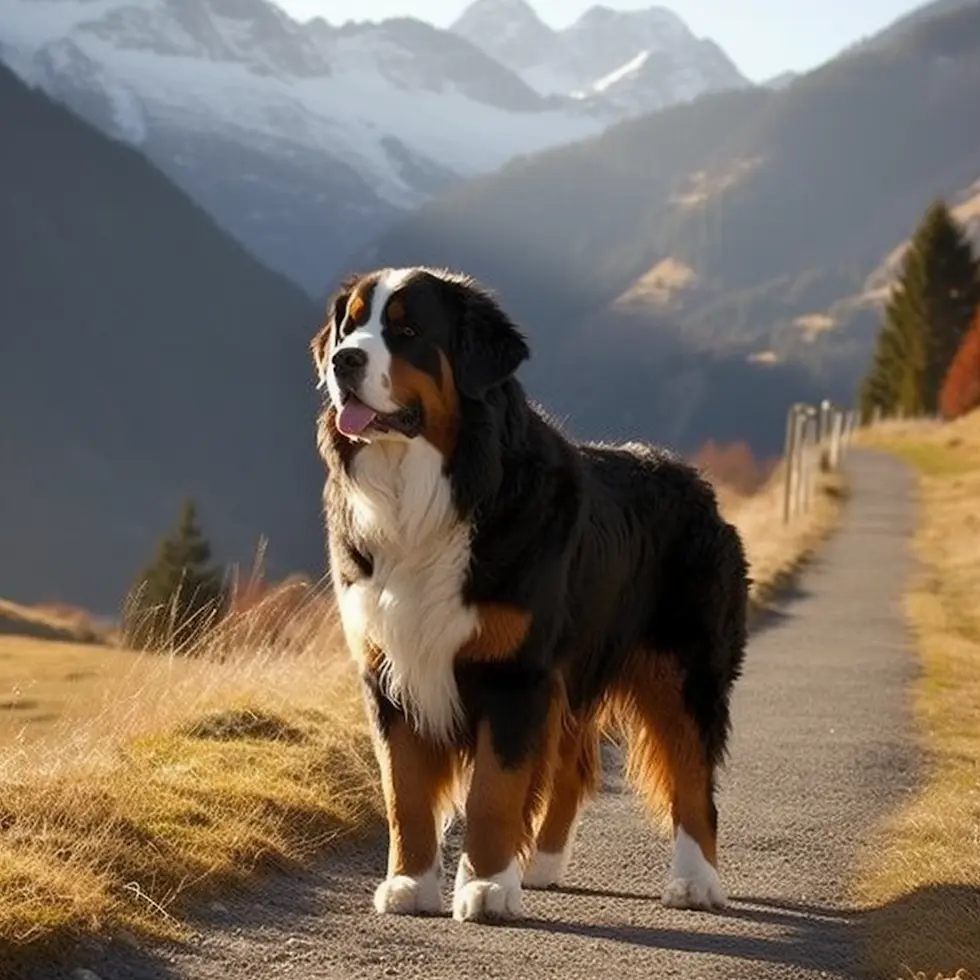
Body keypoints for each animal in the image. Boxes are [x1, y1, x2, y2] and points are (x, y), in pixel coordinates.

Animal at [310, 264, 748, 924]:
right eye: (350, 325)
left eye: (407, 331)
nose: (342, 361)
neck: (425, 492)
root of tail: (696, 481)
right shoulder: (387, 669)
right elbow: (403, 791)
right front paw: (411, 883)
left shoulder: (513, 673)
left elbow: (493, 791)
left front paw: (488, 887)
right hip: (571, 673)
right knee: (572, 767)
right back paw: (542, 864)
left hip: (682, 670)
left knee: (694, 778)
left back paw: (696, 881)